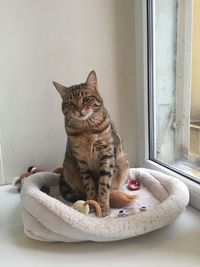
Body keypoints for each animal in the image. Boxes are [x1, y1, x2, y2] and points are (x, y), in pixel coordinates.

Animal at [53, 71, 128, 218]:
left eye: (86, 98)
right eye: (70, 103)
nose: (79, 109)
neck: (86, 129)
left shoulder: (106, 156)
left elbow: (104, 185)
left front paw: (103, 207)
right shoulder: (82, 162)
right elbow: (90, 185)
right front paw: (92, 203)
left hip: (123, 165)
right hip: (68, 168)